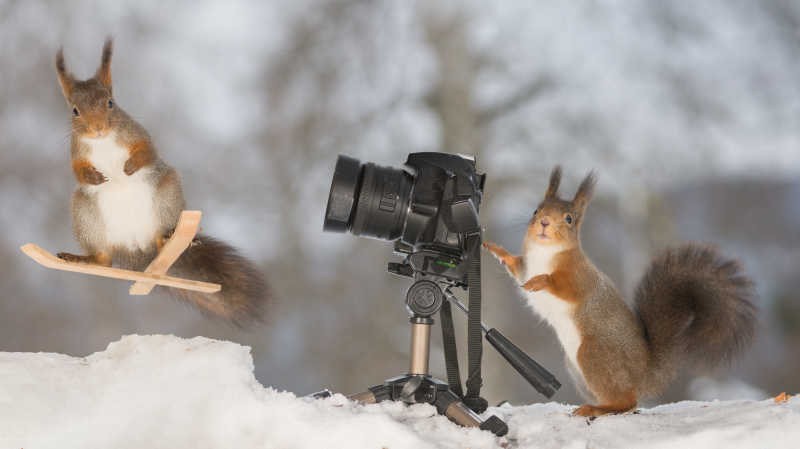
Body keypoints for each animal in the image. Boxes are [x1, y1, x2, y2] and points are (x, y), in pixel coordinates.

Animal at [482, 165, 756, 416]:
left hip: (592, 355)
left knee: (627, 402)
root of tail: (644, 375)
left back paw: (594, 409)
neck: (544, 252)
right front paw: (493, 248)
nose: (544, 222)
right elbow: (514, 264)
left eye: (569, 219)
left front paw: (539, 282)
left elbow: (564, 287)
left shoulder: (580, 278)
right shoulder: (525, 266)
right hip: (576, 368)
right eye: (536, 210)